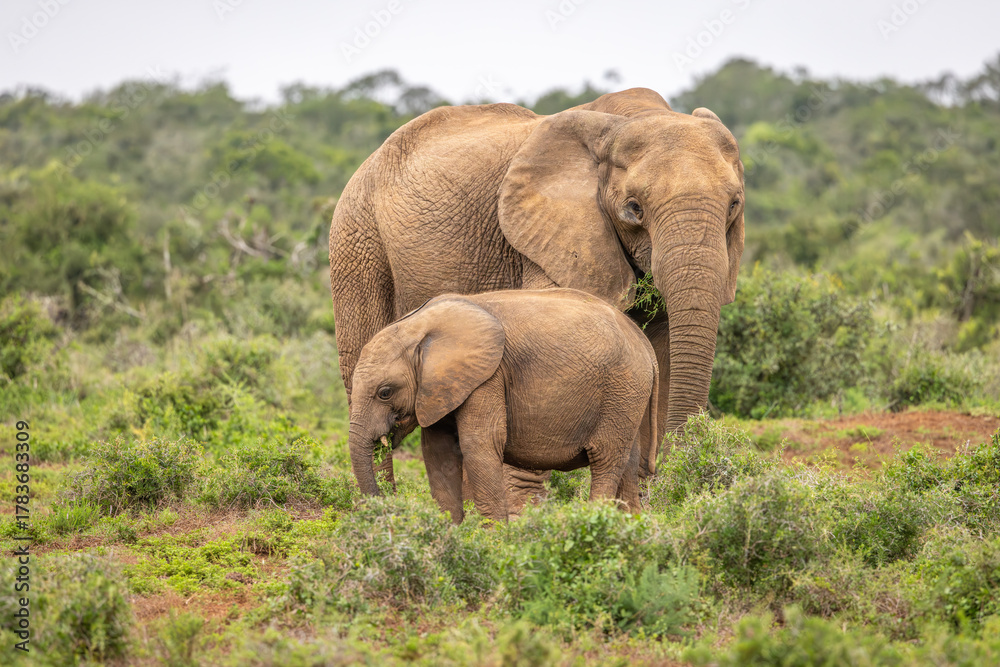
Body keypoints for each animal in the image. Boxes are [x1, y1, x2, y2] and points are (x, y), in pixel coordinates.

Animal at [347, 289, 659, 524]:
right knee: (628, 462)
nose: (386, 506)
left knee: (606, 460)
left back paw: (591, 522)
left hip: (622, 387)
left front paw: (495, 542)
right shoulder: (440, 390)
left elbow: (480, 445)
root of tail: (643, 341)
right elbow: (438, 453)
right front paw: (452, 536)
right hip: (626, 398)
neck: (418, 327)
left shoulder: (488, 376)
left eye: (385, 392)